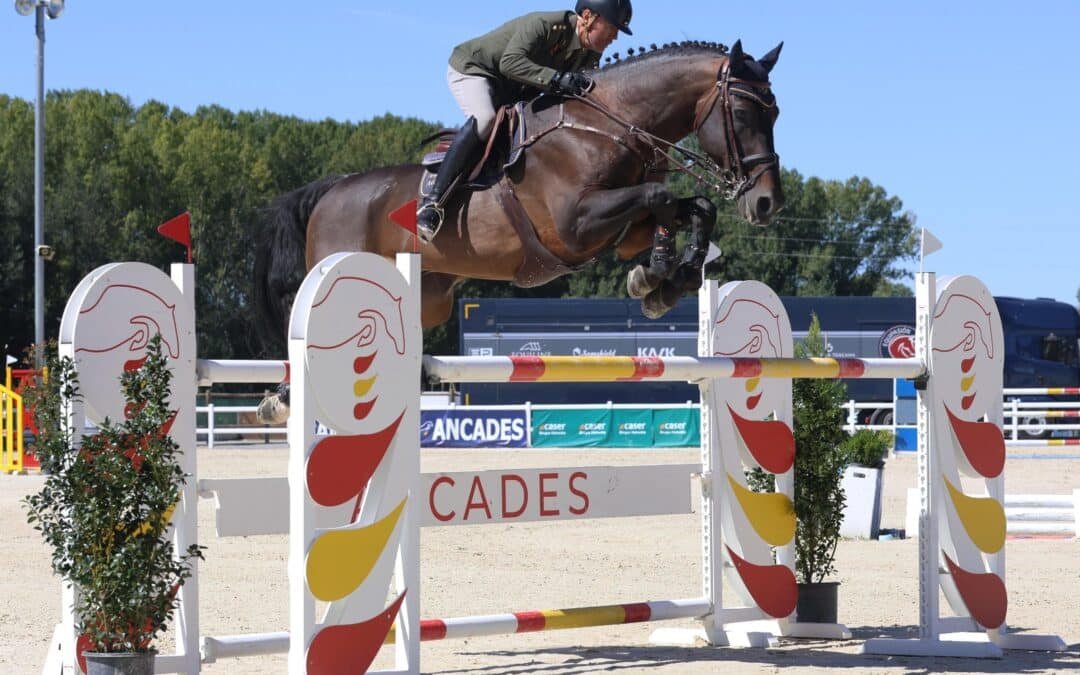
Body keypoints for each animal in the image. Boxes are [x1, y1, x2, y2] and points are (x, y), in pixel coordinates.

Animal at [253, 39, 784, 423]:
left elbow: (694, 208)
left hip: (430, 298)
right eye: (742, 114)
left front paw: (665, 283)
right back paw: (280, 398)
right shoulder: (576, 224)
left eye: (775, 112)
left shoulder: (621, 229)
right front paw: (653, 276)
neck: (608, 127)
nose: (767, 203)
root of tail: (332, 189)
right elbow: (661, 198)